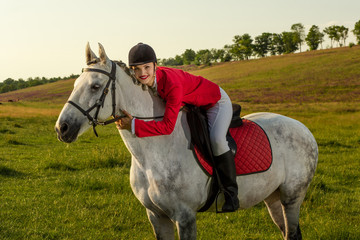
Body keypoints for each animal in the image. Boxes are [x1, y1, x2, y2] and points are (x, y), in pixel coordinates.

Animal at [55, 43, 318, 240]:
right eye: (75, 85)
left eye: (95, 86)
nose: (62, 128)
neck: (151, 154)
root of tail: (304, 129)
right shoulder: (156, 216)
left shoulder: (185, 217)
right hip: (273, 198)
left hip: (292, 197)